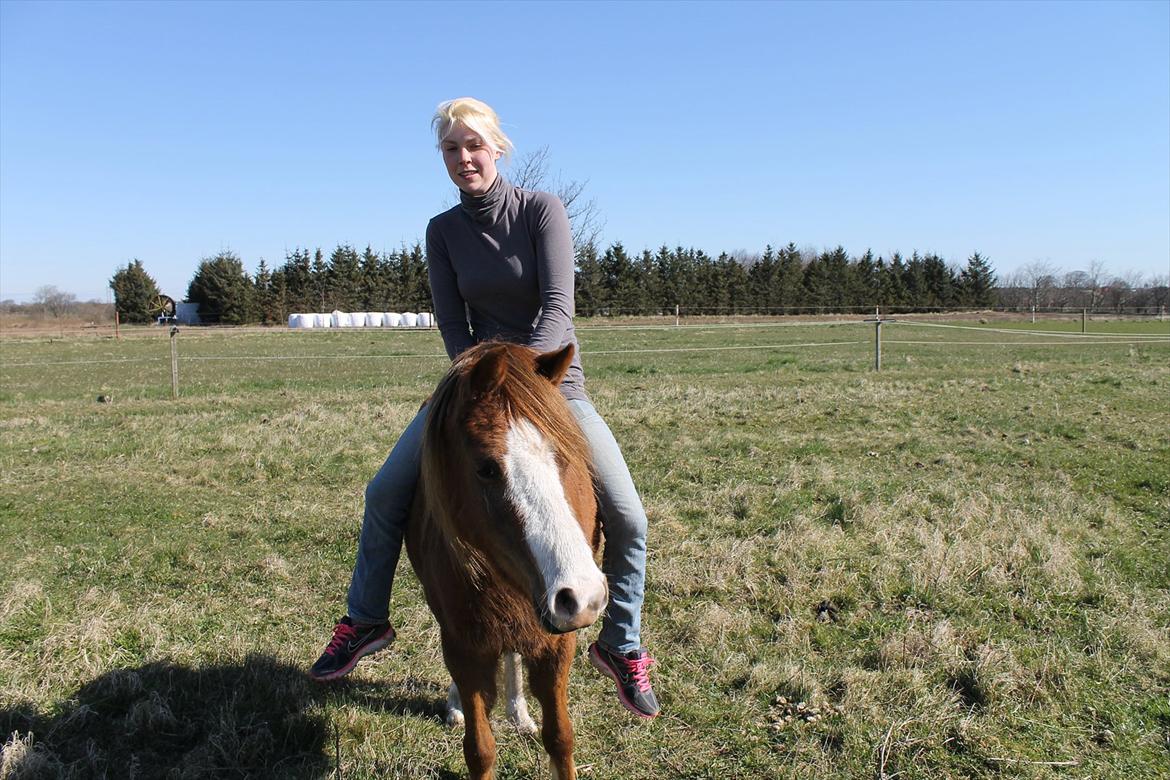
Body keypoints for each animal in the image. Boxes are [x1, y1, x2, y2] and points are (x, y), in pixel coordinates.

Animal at [405, 341, 606, 780]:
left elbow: (560, 738)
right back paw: (457, 707)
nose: (583, 597)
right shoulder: (464, 644)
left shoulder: (557, 641)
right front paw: (462, 710)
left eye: (565, 454)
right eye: (486, 468)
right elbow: (479, 749)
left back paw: (519, 713)